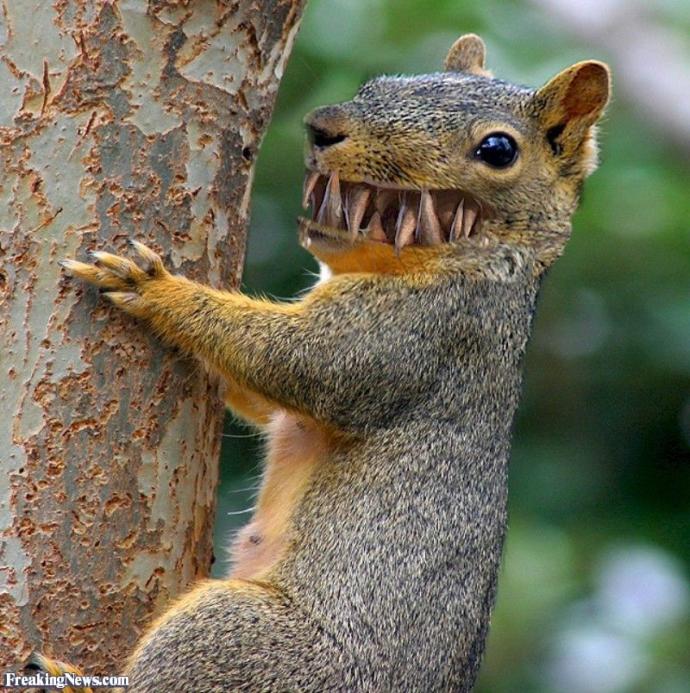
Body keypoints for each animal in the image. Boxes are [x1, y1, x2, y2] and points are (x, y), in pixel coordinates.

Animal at [46, 33, 609, 692]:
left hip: (230, 634)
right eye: (378, 85)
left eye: (497, 150)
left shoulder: (418, 335)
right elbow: (265, 398)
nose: (322, 127)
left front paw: (159, 290)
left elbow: (303, 363)